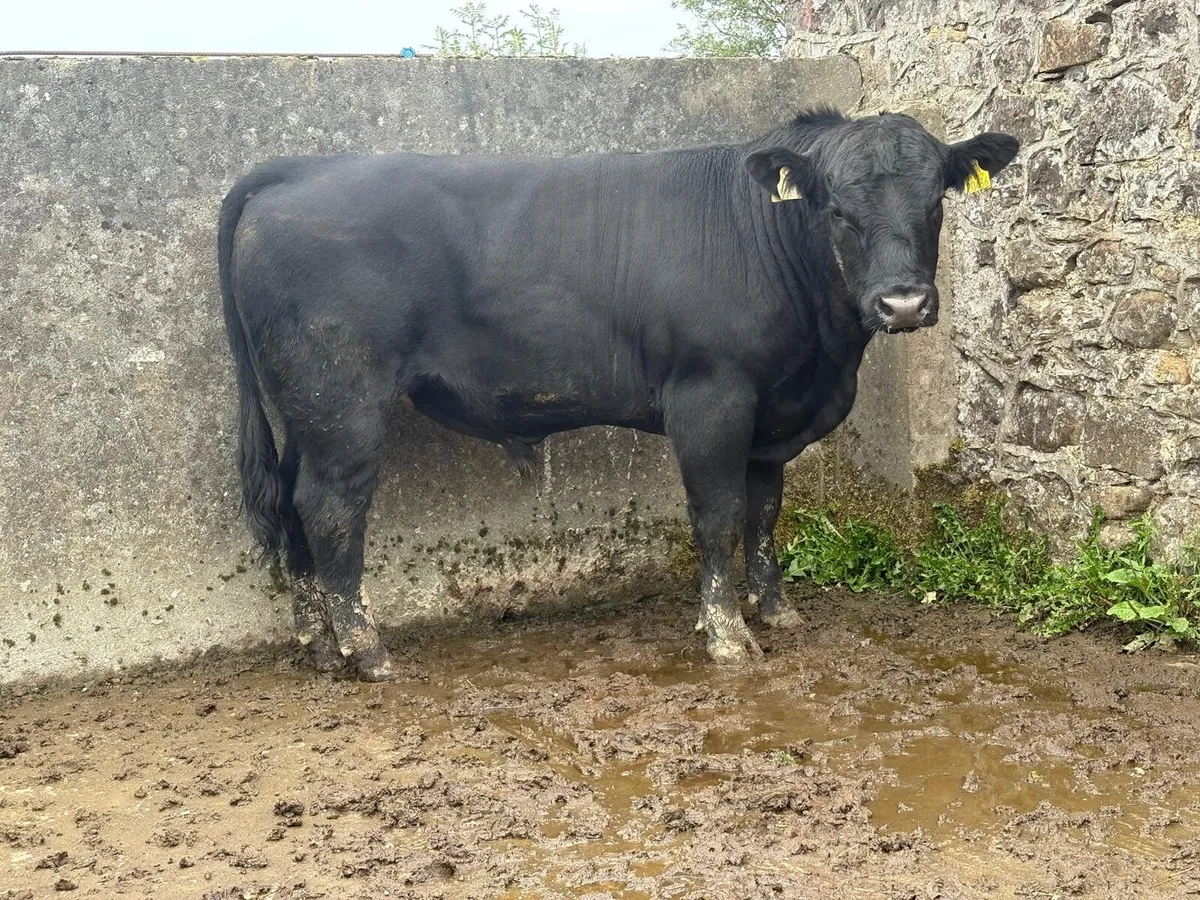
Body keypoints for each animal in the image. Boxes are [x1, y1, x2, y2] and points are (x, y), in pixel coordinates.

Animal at [218, 107, 1019, 682]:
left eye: (935, 204)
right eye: (837, 211)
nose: (903, 303)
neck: (824, 358)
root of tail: (296, 171)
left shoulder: (772, 420)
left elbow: (764, 514)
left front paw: (775, 610)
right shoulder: (711, 398)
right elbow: (718, 515)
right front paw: (726, 635)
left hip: (306, 412)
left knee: (294, 506)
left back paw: (318, 645)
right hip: (342, 402)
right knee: (331, 510)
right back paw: (367, 652)